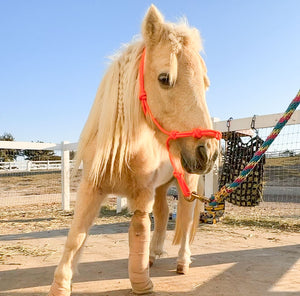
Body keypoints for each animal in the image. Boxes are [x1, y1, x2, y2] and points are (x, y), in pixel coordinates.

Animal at [49, 5, 220, 296]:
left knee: (186, 221)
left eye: (205, 84)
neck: (124, 150)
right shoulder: (91, 188)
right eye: (165, 78)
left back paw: (182, 261)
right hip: (163, 186)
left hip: (187, 182)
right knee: (162, 214)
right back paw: (153, 255)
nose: (207, 152)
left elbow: (139, 230)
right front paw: (60, 287)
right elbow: (76, 236)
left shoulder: (142, 195)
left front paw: (142, 283)